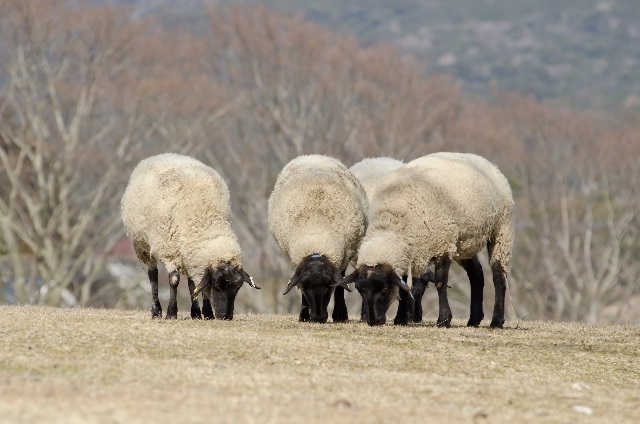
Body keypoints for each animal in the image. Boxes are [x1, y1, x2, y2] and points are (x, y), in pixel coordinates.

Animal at [120, 154, 260, 320]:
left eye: (237, 288)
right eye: (217, 287)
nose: (226, 317)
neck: (204, 220)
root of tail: (164, 155)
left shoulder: (195, 255)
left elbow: (198, 285)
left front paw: (206, 313)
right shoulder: (169, 250)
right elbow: (174, 280)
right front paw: (171, 313)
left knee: (191, 282)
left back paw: (195, 313)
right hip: (143, 245)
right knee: (152, 274)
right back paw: (156, 311)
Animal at [268, 154, 368, 322]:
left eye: (329, 286)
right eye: (304, 287)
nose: (318, 317)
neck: (317, 238)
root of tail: (313, 156)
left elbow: (340, 283)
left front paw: (340, 315)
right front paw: (304, 316)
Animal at [340, 152, 516, 328]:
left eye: (384, 289)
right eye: (360, 290)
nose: (373, 321)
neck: (393, 223)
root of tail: (482, 160)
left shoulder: (443, 245)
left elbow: (440, 283)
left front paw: (444, 320)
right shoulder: (408, 252)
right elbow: (404, 285)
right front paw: (400, 319)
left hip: (501, 230)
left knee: (498, 276)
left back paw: (496, 321)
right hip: (463, 242)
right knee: (476, 273)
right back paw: (474, 319)